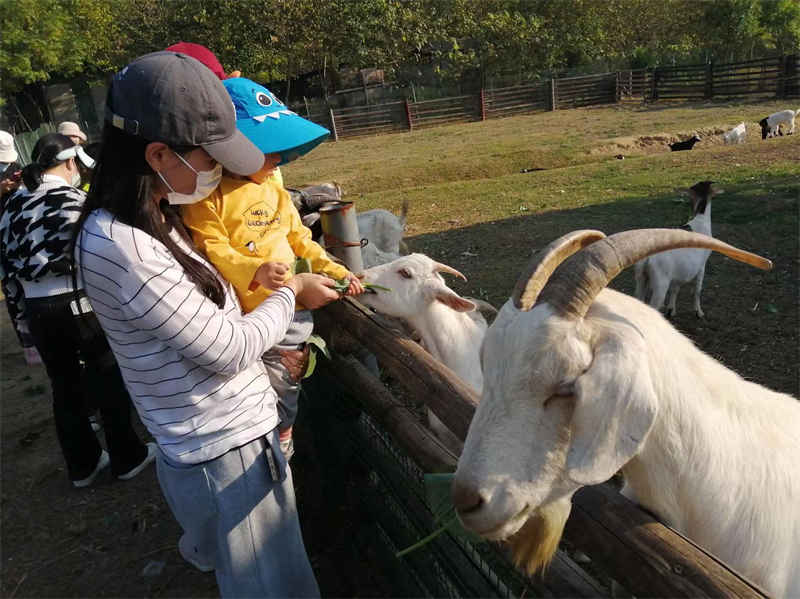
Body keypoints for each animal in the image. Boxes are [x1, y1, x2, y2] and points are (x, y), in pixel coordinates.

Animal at [636, 180, 720, 318]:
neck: (701, 221)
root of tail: (647, 258)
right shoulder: (702, 265)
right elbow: (697, 290)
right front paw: (699, 312)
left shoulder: (678, 273)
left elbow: (675, 289)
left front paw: (671, 310)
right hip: (660, 282)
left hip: (640, 279)